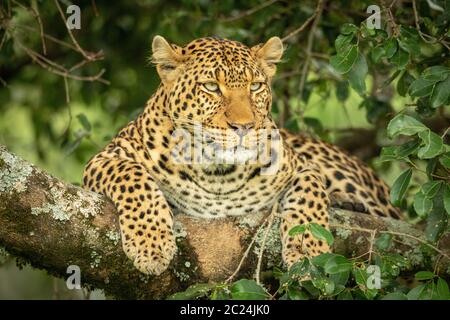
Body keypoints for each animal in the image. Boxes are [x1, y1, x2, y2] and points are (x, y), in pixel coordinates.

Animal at [81, 34, 400, 276]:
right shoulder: (106, 157)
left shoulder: (301, 166)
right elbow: (133, 177)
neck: (216, 172)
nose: (244, 126)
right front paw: (151, 245)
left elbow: (309, 193)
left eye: (255, 86)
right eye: (211, 87)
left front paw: (310, 254)